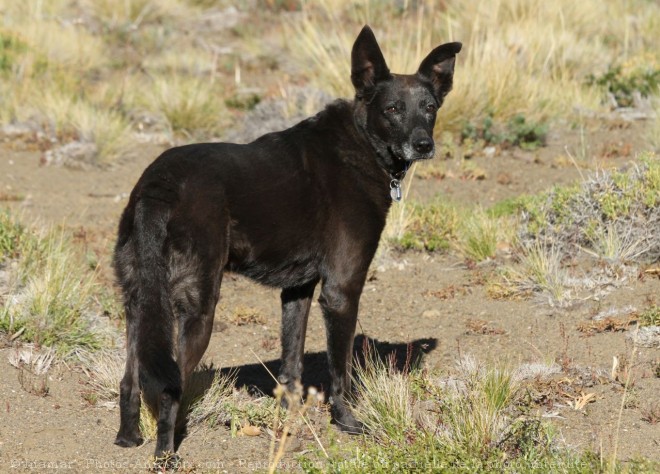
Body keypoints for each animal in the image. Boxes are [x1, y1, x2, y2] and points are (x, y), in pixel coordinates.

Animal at [113, 25, 462, 456]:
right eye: (393, 109)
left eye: (429, 107)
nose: (424, 144)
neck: (362, 141)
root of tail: (158, 185)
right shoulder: (342, 290)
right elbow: (340, 370)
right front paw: (346, 421)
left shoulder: (298, 290)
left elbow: (292, 360)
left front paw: (289, 415)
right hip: (197, 306)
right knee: (170, 388)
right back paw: (166, 453)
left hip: (139, 301)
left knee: (130, 377)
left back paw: (129, 436)